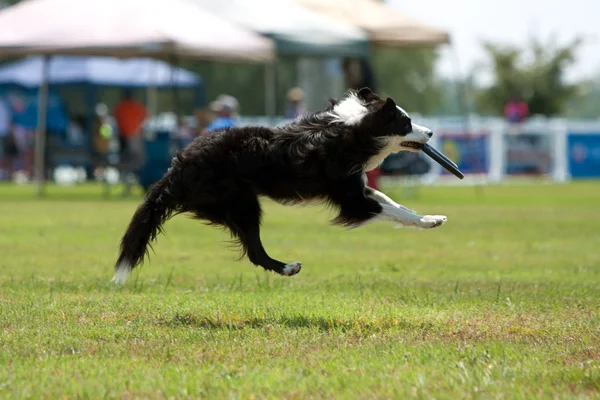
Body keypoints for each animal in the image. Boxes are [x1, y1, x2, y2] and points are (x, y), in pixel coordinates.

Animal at [115, 88, 448, 282]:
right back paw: (288, 268)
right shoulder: (350, 198)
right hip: (242, 202)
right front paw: (429, 220)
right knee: (255, 251)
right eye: (406, 122)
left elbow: (395, 204)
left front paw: (430, 217)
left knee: (252, 251)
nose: (431, 132)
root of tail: (179, 165)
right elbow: (393, 210)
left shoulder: (357, 186)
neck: (355, 130)